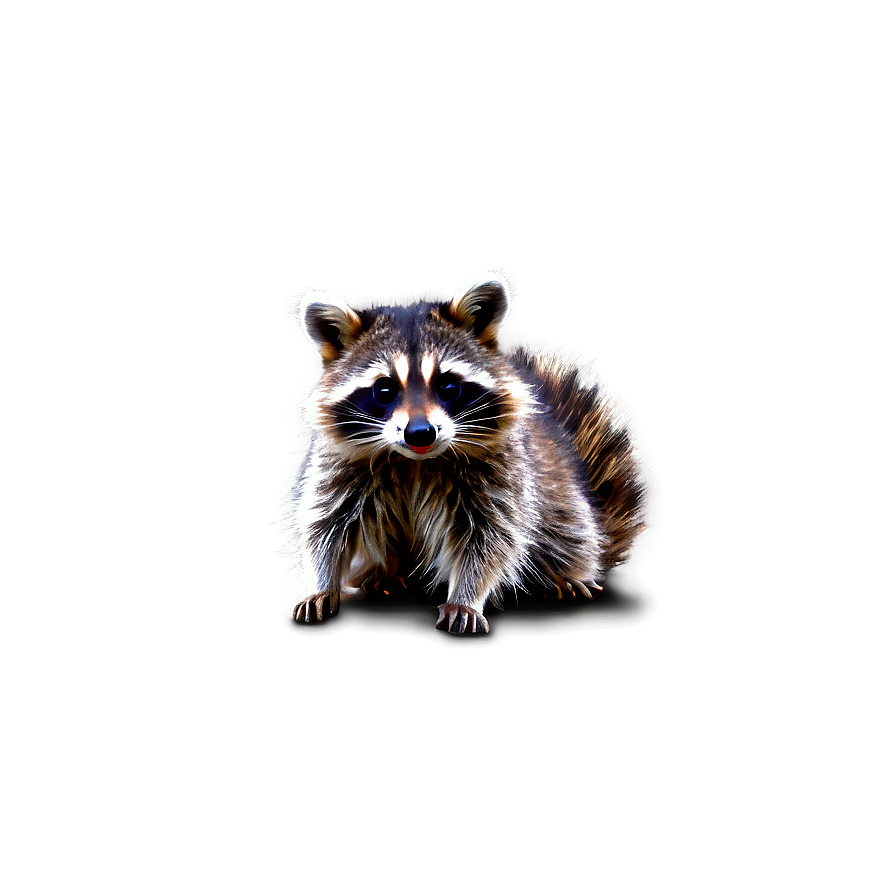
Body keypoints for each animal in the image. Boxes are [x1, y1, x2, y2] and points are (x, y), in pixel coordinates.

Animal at [283, 270, 650, 635]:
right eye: (384, 390)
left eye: (447, 386)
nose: (420, 433)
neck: (416, 461)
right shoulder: (338, 463)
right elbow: (325, 524)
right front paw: (321, 585)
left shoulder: (503, 469)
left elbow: (491, 536)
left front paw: (466, 596)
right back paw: (388, 573)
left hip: (566, 504)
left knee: (568, 529)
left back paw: (565, 573)